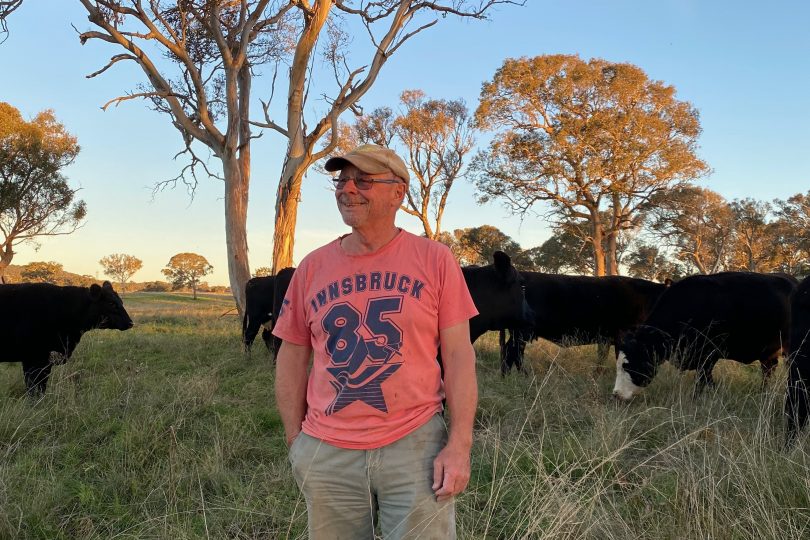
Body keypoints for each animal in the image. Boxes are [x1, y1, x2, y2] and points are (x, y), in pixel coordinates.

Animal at [0, 282, 133, 396]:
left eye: (121, 302)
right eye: (111, 303)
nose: (131, 322)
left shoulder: (46, 360)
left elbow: (41, 386)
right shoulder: (34, 358)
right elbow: (33, 387)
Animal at [498, 274, 668, 376]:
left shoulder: (606, 338)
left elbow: (602, 357)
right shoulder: (621, 336)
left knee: (514, 353)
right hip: (521, 332)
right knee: (512, 352)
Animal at [612, 270, 788, 400]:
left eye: (627, 366)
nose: (616, 395)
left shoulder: (708, 356)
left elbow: (703, 380)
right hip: (769, 355)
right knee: (768, 372)